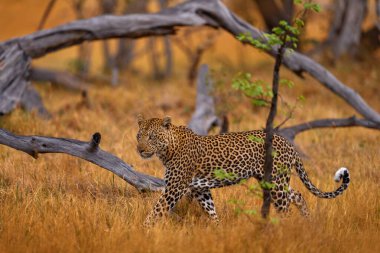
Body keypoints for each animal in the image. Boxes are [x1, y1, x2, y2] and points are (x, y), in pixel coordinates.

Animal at [137, 115, 350, 225]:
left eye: (152, 137)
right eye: (139, 135)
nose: (139, 149)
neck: (168, 150)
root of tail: (288, 143)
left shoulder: (175, 187)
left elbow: (157, 210)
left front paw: (144, 230)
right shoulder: (200, 189)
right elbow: (211, 210)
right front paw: (218, 229)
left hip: (275, 183)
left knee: (285, 208)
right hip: (274, 179)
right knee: (297, 195)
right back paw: (307, 222)